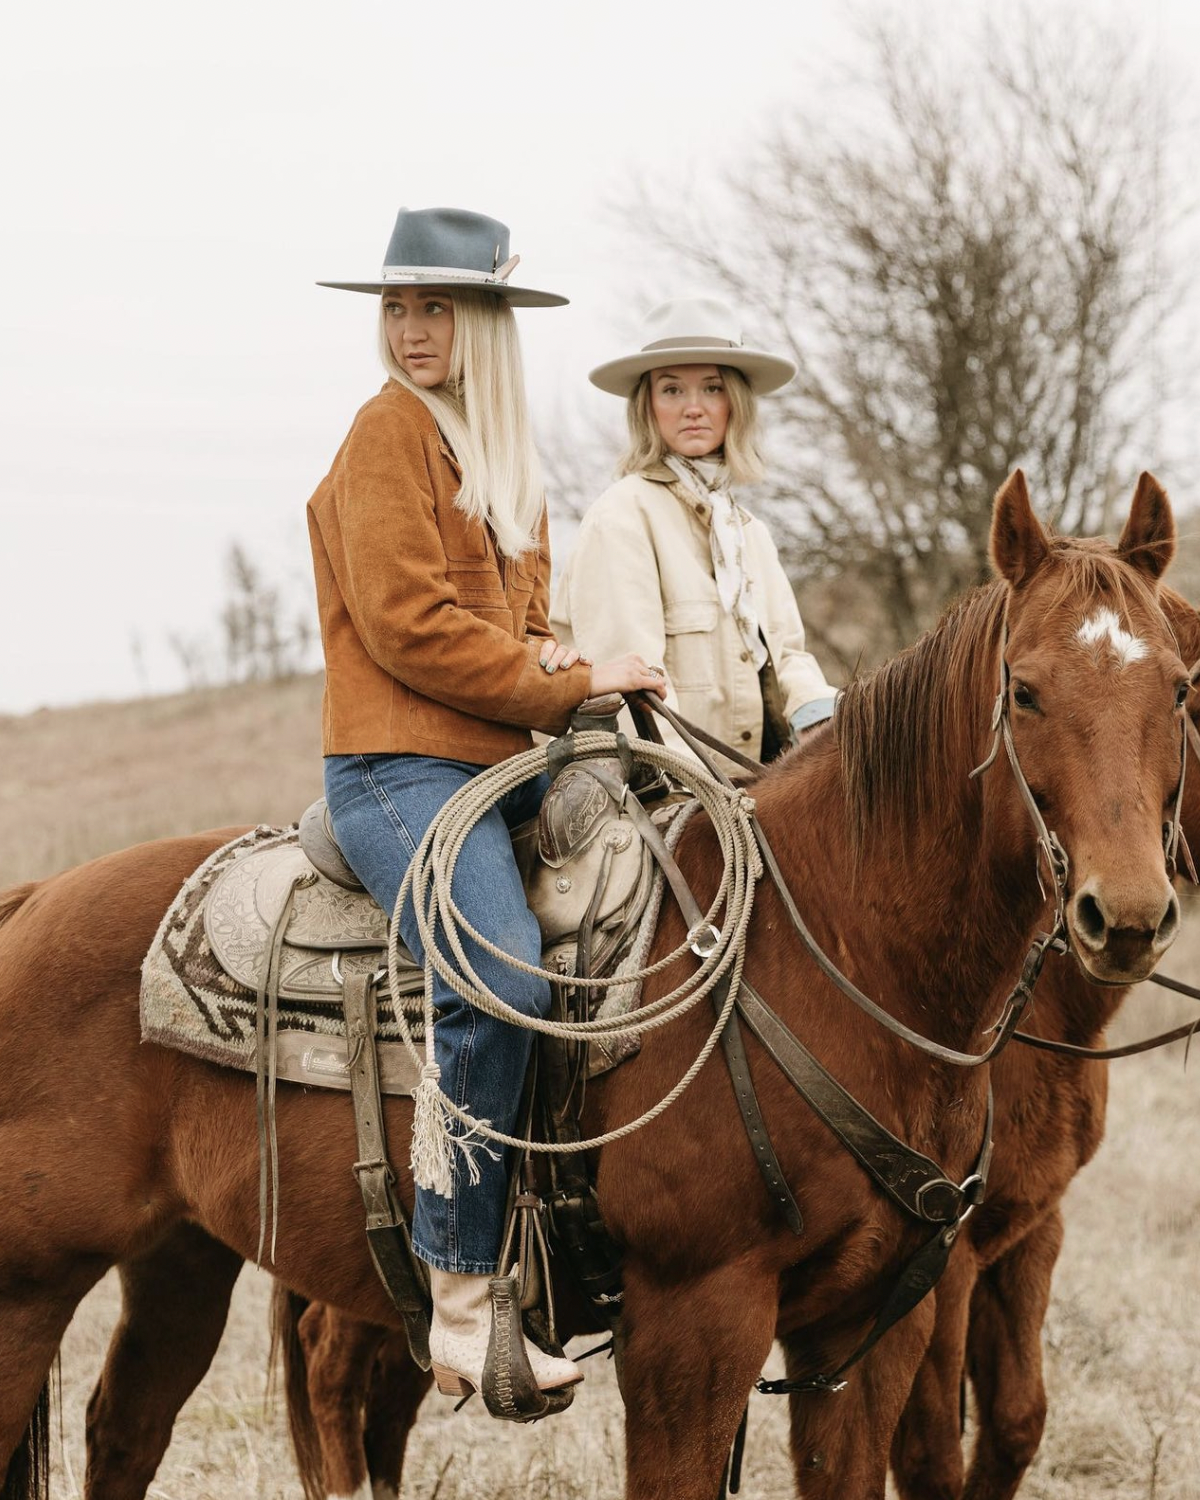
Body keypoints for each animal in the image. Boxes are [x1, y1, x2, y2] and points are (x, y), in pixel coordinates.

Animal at [4, 474, 1188, 1494]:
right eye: (1025, 691)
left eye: (1179, 688)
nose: (1125, 915)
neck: (837, 961)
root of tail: (36, 900)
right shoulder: (695, 1323)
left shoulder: (868, 1333)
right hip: (35, 1282)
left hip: (180, 1261)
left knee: (126, 1430)